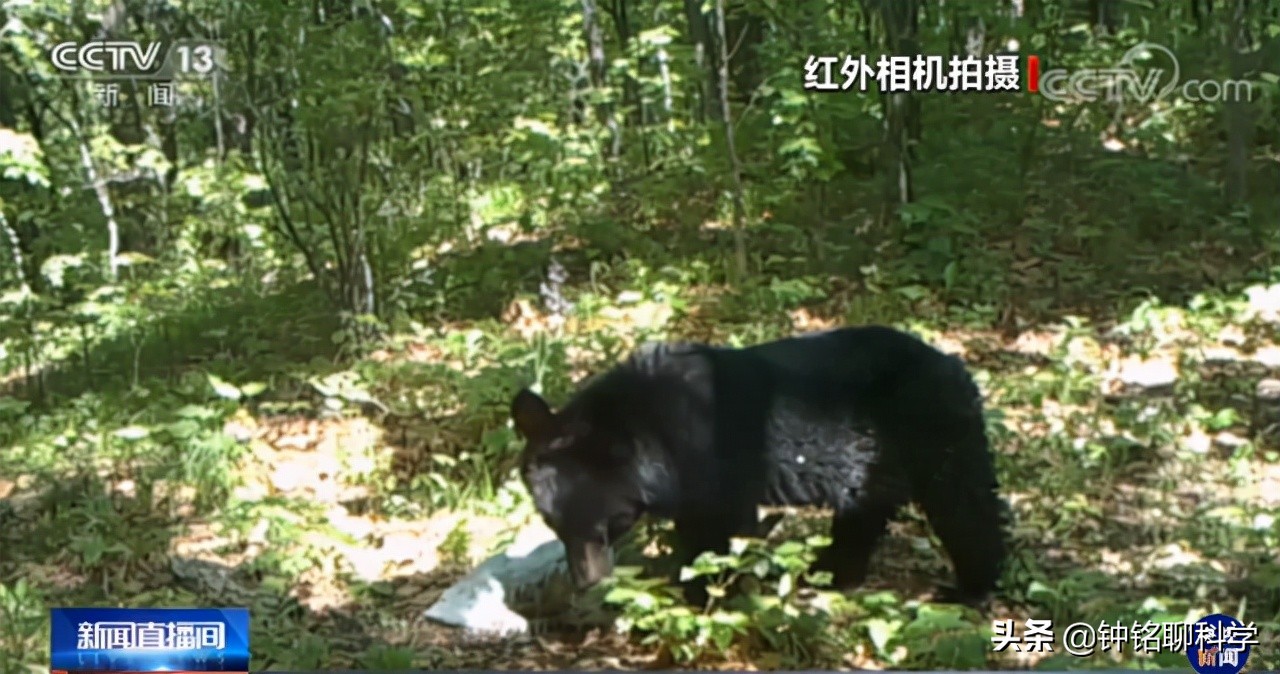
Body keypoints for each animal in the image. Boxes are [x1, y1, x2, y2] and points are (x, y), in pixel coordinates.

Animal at [512, 324, 1008, 603]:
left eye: (605, 524)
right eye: (553, 525)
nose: (586, 582)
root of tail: (956, 366)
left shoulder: (712, 459)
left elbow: (720, 532)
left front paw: (705, 592)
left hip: (931, 431)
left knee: (963, 504)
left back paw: (971, 587)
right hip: (880, 460)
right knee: (864, 512)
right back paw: (832, 571)